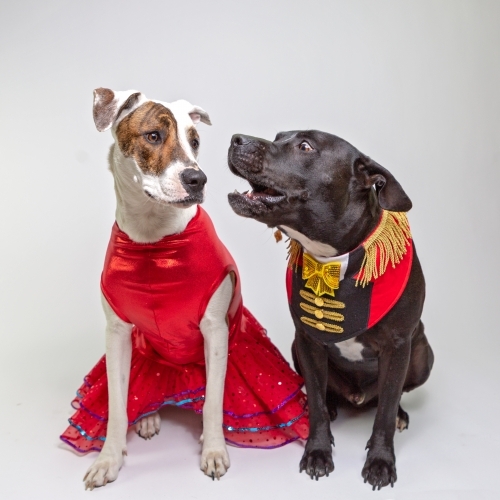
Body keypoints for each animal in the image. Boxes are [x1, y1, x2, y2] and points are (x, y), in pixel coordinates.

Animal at [82, 89, 230, 488]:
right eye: (153, 136)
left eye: (195, 141)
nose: (198, 178)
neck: (153, 237)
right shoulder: (117, 334)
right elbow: (118, 405)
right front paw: (108, 459)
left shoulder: (216, 330)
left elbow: (213, 401)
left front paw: (214, 451)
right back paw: (147, 417)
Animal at [228, 131, 434, 490]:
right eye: (279, 137)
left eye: (305, 147)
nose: (236, 138)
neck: (334, 260)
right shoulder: (308, 342)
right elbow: (318, 406)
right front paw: (317, 452)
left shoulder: (398, 347)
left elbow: (384, 413)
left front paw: (381, 460)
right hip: (297, 350)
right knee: (328, 395)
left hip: (422, 356)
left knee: (389, 398)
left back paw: (400, 414)